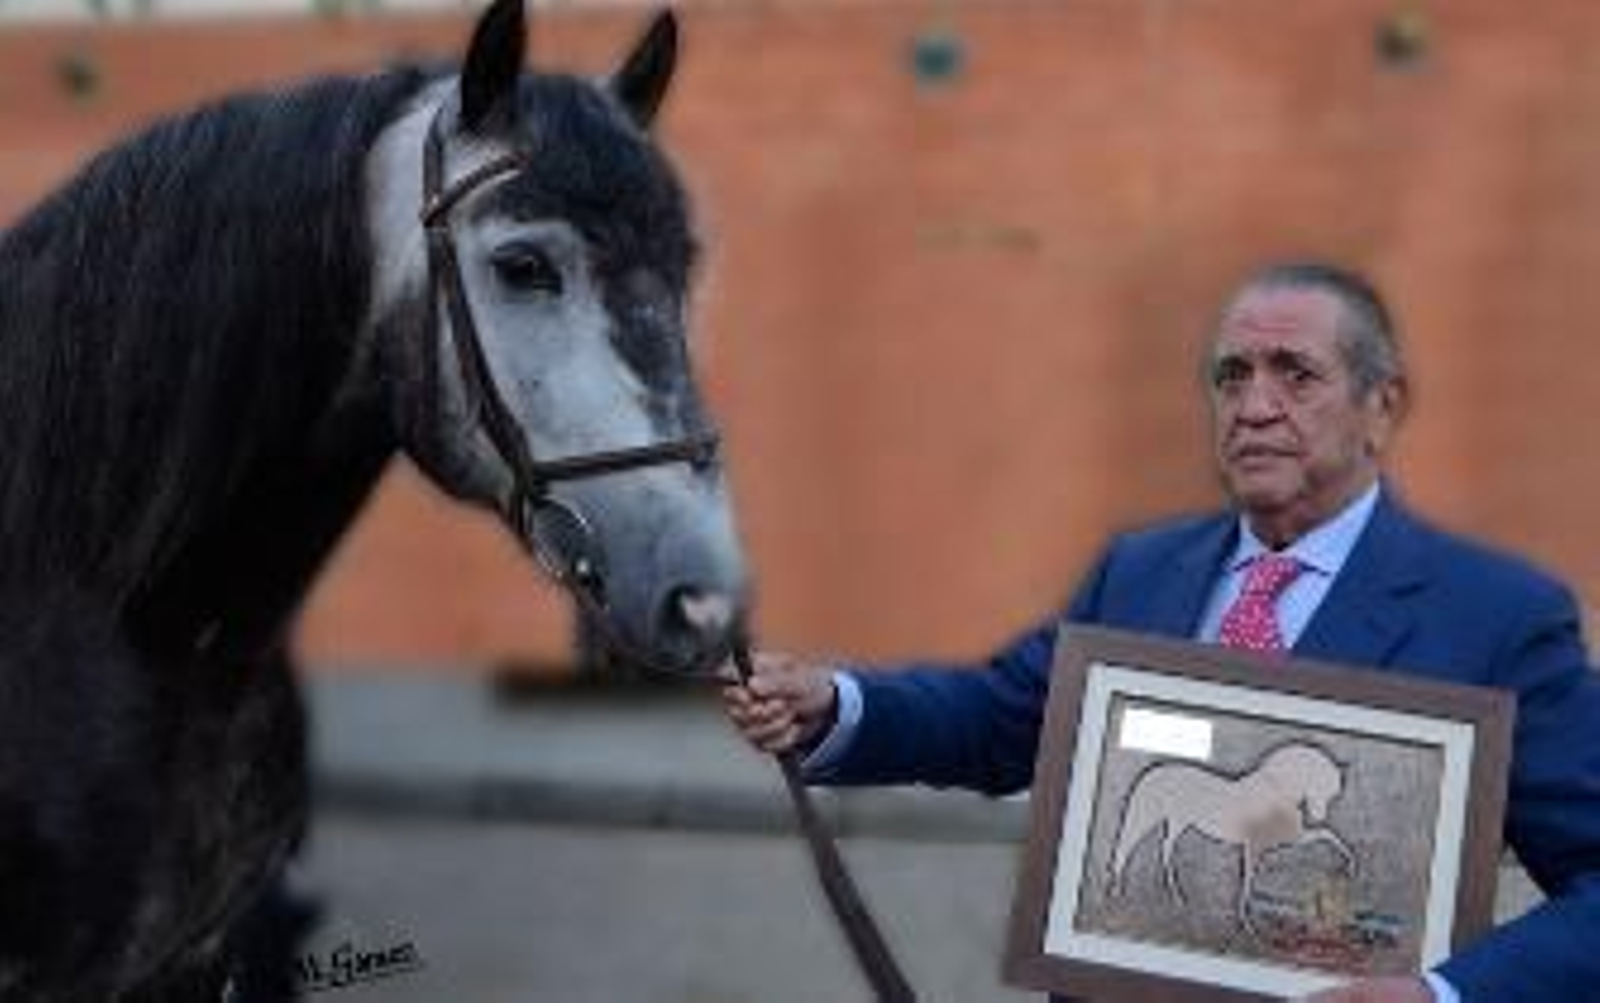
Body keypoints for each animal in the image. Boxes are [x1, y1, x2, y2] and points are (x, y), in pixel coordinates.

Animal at [1106, 741, 1356, 936]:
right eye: (1323, 784)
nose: (1318, 815)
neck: (1277, 790)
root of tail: (1153, 771)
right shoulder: (1258, 846)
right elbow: (1247, 881)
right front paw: (1247, 925)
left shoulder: (1282, 841)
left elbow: (1327, 834)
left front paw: (1348, 866)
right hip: (1149, 817)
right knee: (1127, 848)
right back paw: (1118, 891)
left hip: (1178, 823)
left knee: (1165, 849)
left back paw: (1177, 896)